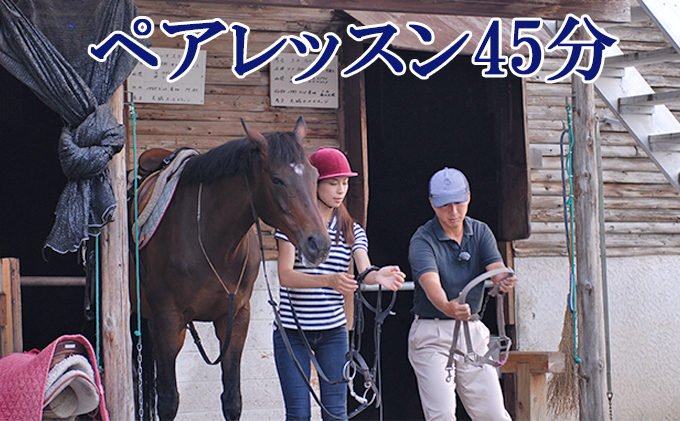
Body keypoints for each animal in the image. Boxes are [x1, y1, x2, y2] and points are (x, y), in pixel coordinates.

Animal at [131, 117, 330, 420]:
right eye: (276, 179)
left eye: (313, 175)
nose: (318, 243)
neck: (210, 238)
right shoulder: (168, 318)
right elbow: (168, 401)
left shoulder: (235, 318)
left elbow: (232, 400)